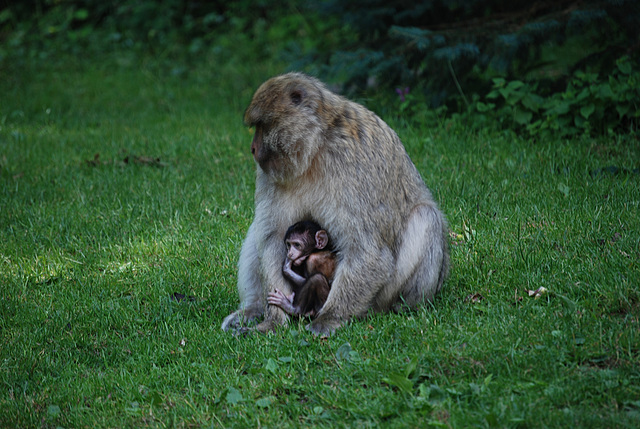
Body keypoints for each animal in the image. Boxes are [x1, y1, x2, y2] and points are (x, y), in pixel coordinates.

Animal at [221, 72, 450, 334]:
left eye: (262, 126)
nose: (252, 148)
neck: (314, 149)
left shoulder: (351, 163)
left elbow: (367, 251)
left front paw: (329, 318)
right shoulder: (270, 173)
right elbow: (272, 237)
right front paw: (274, 320)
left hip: (386, 293)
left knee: (426, 215)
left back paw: (398, 308)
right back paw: (253, 309)